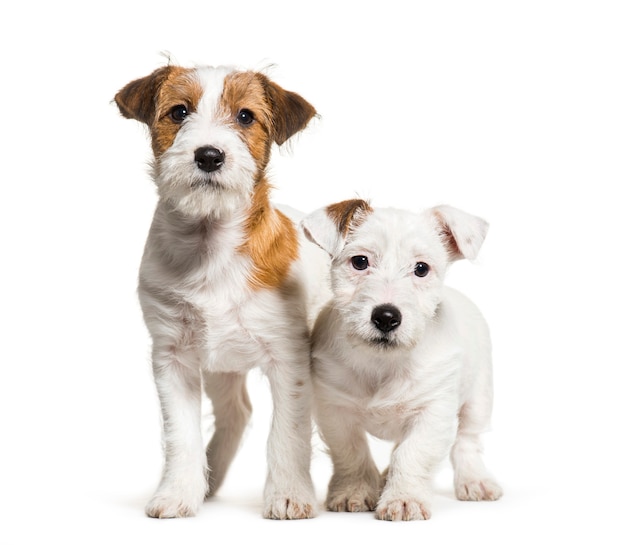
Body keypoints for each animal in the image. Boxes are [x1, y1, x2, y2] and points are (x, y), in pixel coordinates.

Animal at [114, 63, 326, 520]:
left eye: (245, 116)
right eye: (179, 111)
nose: (209, 156)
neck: (210, 247)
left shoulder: (289, 359)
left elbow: (288, 432)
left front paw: (288, 495)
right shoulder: (172, 357)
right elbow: (181, 435)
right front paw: (177, 493)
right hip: (219, 367)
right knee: (236, 412)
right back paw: (208, 478)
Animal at [300, 199, 500, 520]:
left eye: (421, 268)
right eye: (360, 262)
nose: (386, 317)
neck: (384, 363)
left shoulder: (433, 411)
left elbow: (412, 454)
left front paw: (404, 498)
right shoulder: (334, 408)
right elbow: (351, 450)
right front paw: (355, 490)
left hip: (479, 398)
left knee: (468, 441)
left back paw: (475, 480)